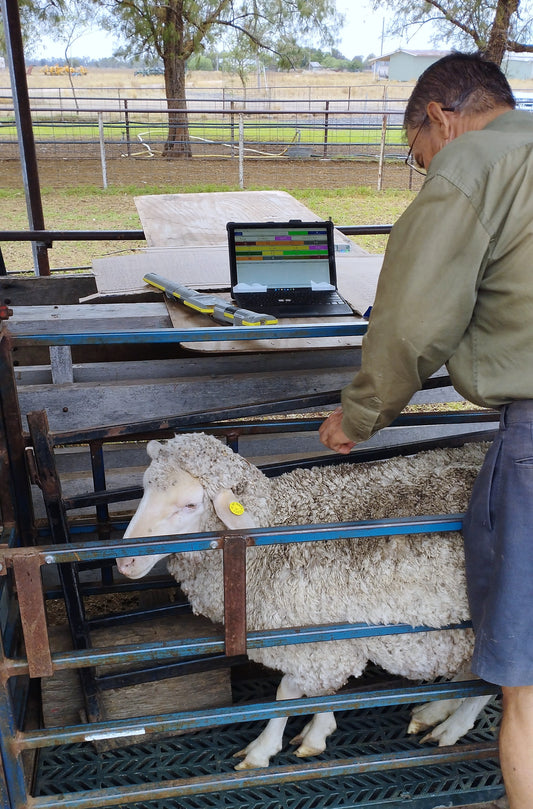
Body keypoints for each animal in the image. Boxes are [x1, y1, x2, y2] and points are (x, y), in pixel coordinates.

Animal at [116, 432, 490, 768]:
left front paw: (265, 749)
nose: (124, 562)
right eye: (145, 489)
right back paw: (435, 709)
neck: (270, 535)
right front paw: (317, 730)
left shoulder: (311, 636)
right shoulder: (319, 638)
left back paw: (450, 728)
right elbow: (313, 691)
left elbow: (287, 694)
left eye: (190, 505)